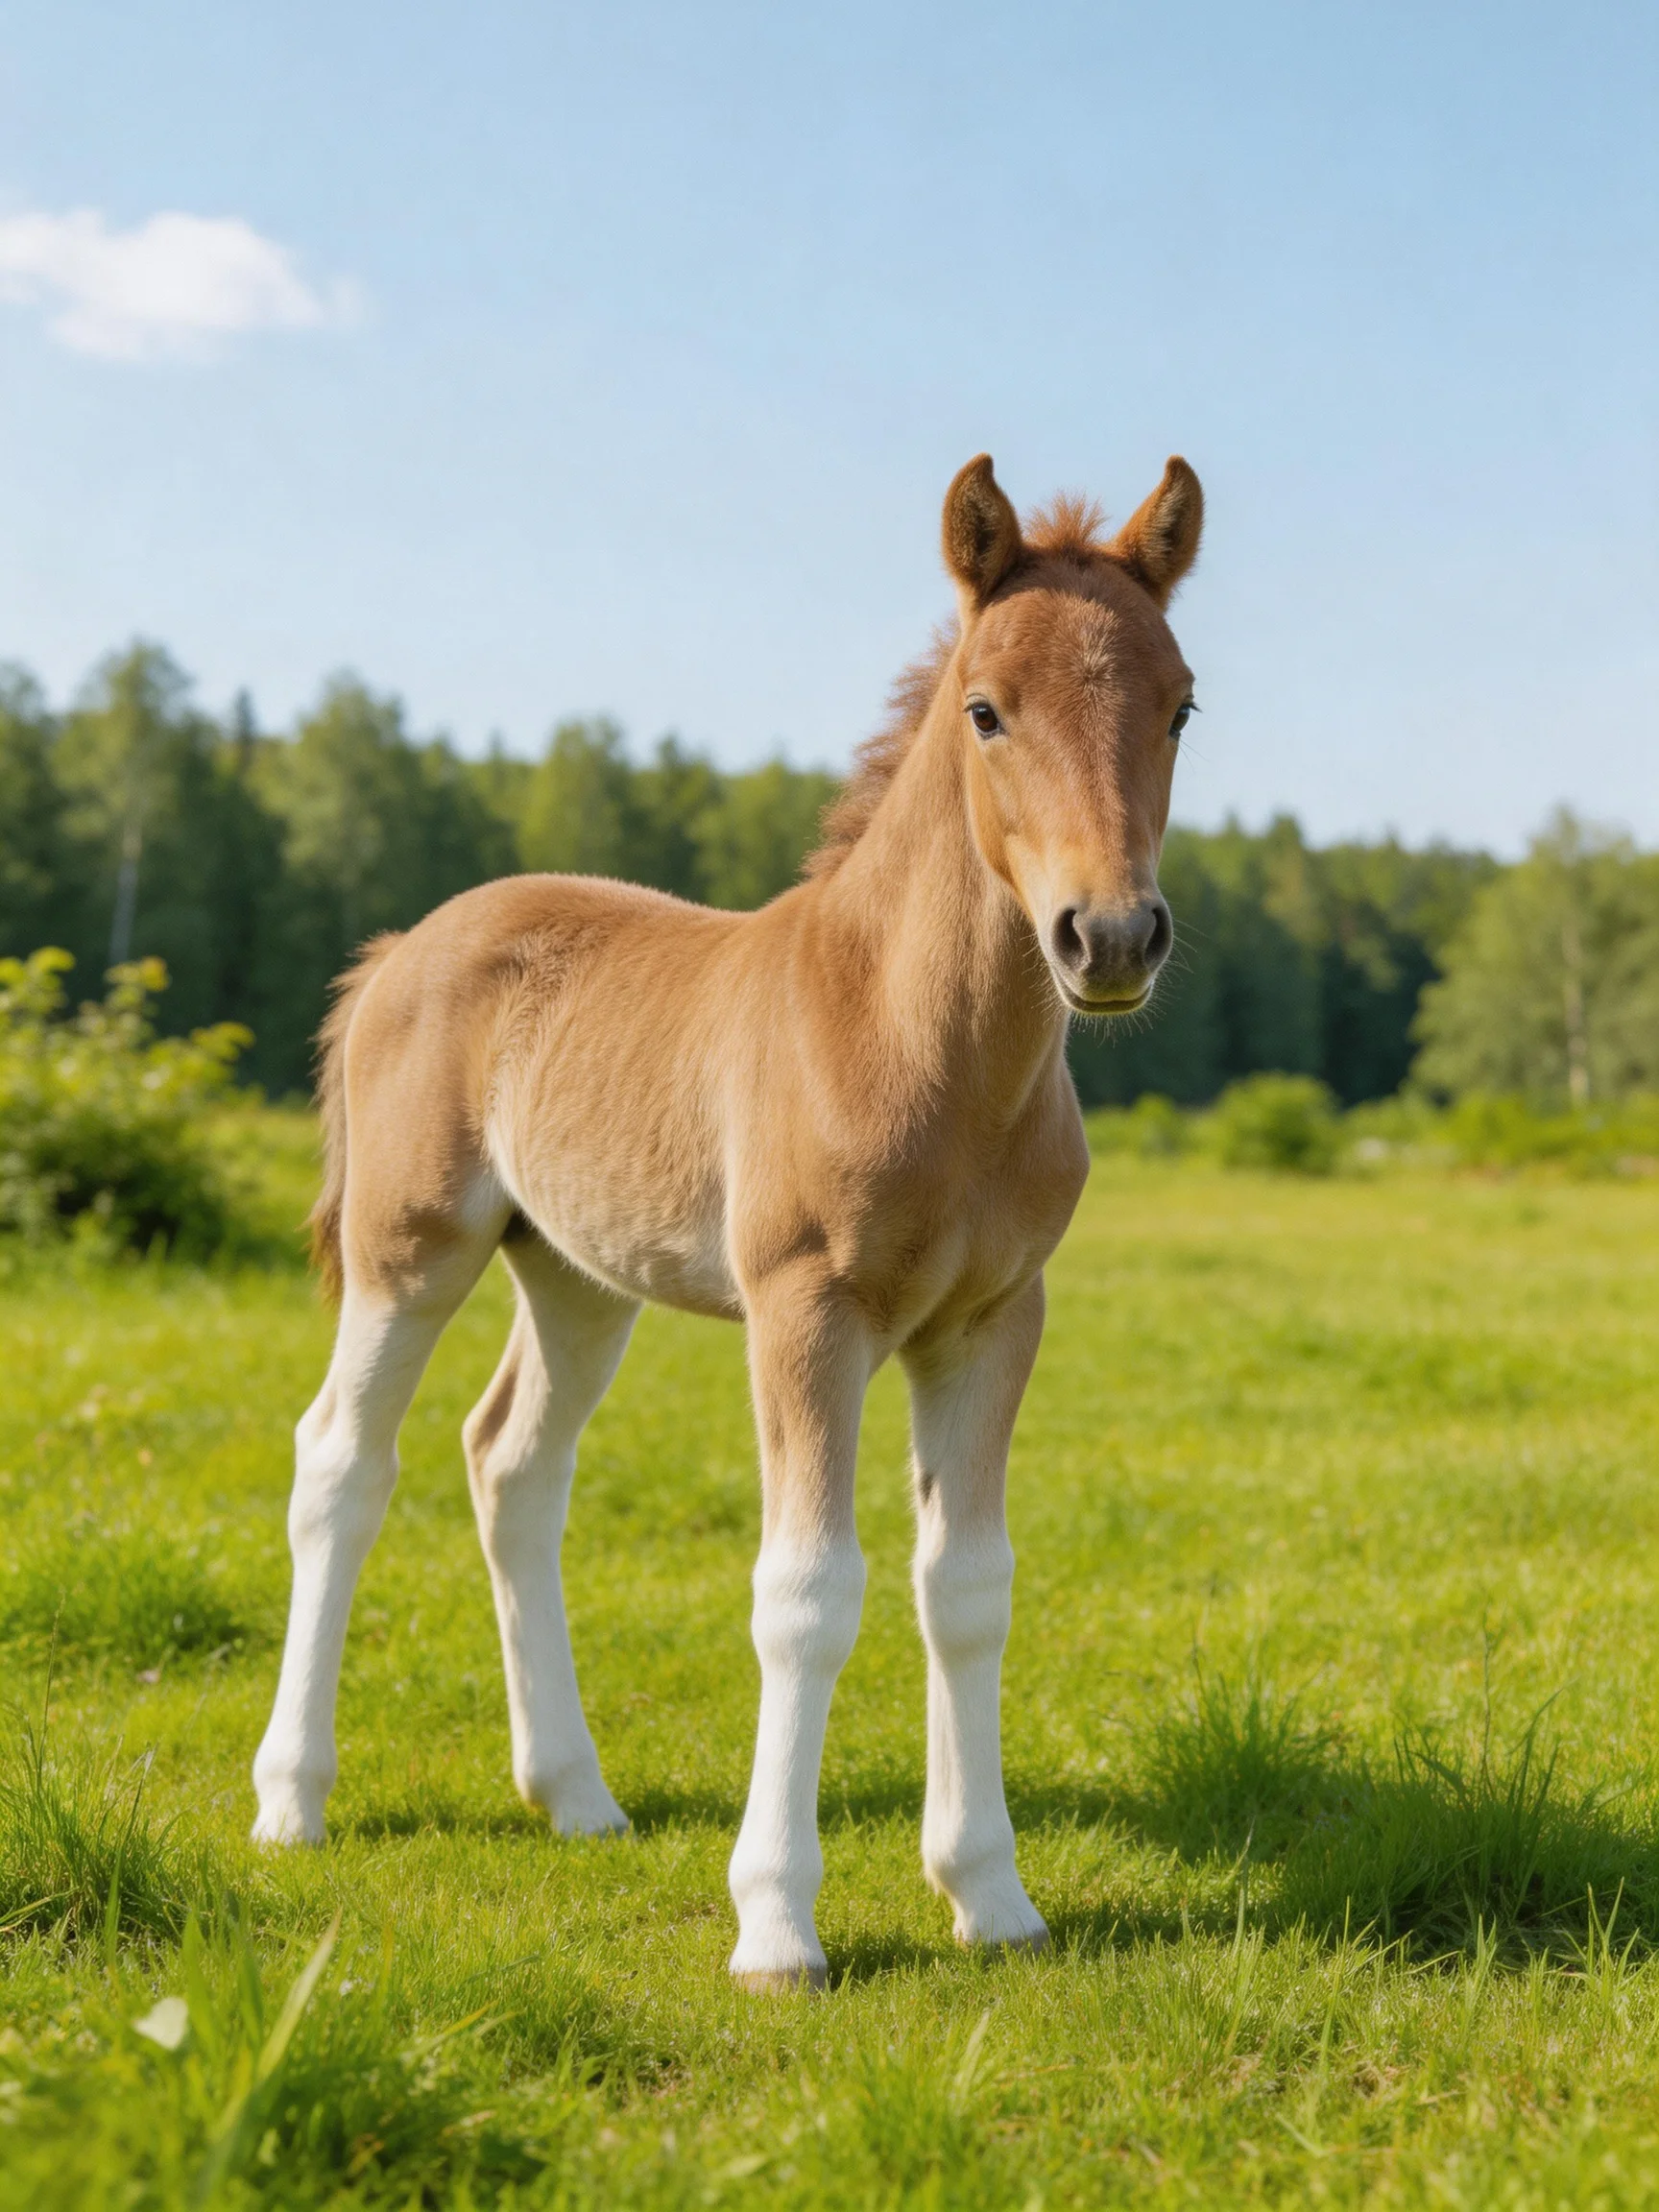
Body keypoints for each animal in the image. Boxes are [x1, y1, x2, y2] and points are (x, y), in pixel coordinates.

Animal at [251, 451, 1203, 1991]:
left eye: (1180, 703)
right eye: (987, 708)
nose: (1108, 938)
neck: (912, 1040)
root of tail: (403, 948)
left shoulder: (993, 1321)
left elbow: (968, 1586)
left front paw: (992, 1897)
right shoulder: (805, 1313)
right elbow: (807, 1593)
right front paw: (776, 1924)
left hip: (577, 1277)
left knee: (511, 1465)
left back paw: (576, 1796)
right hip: (414, 1252)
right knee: (341, 1460)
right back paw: (293, 1800)